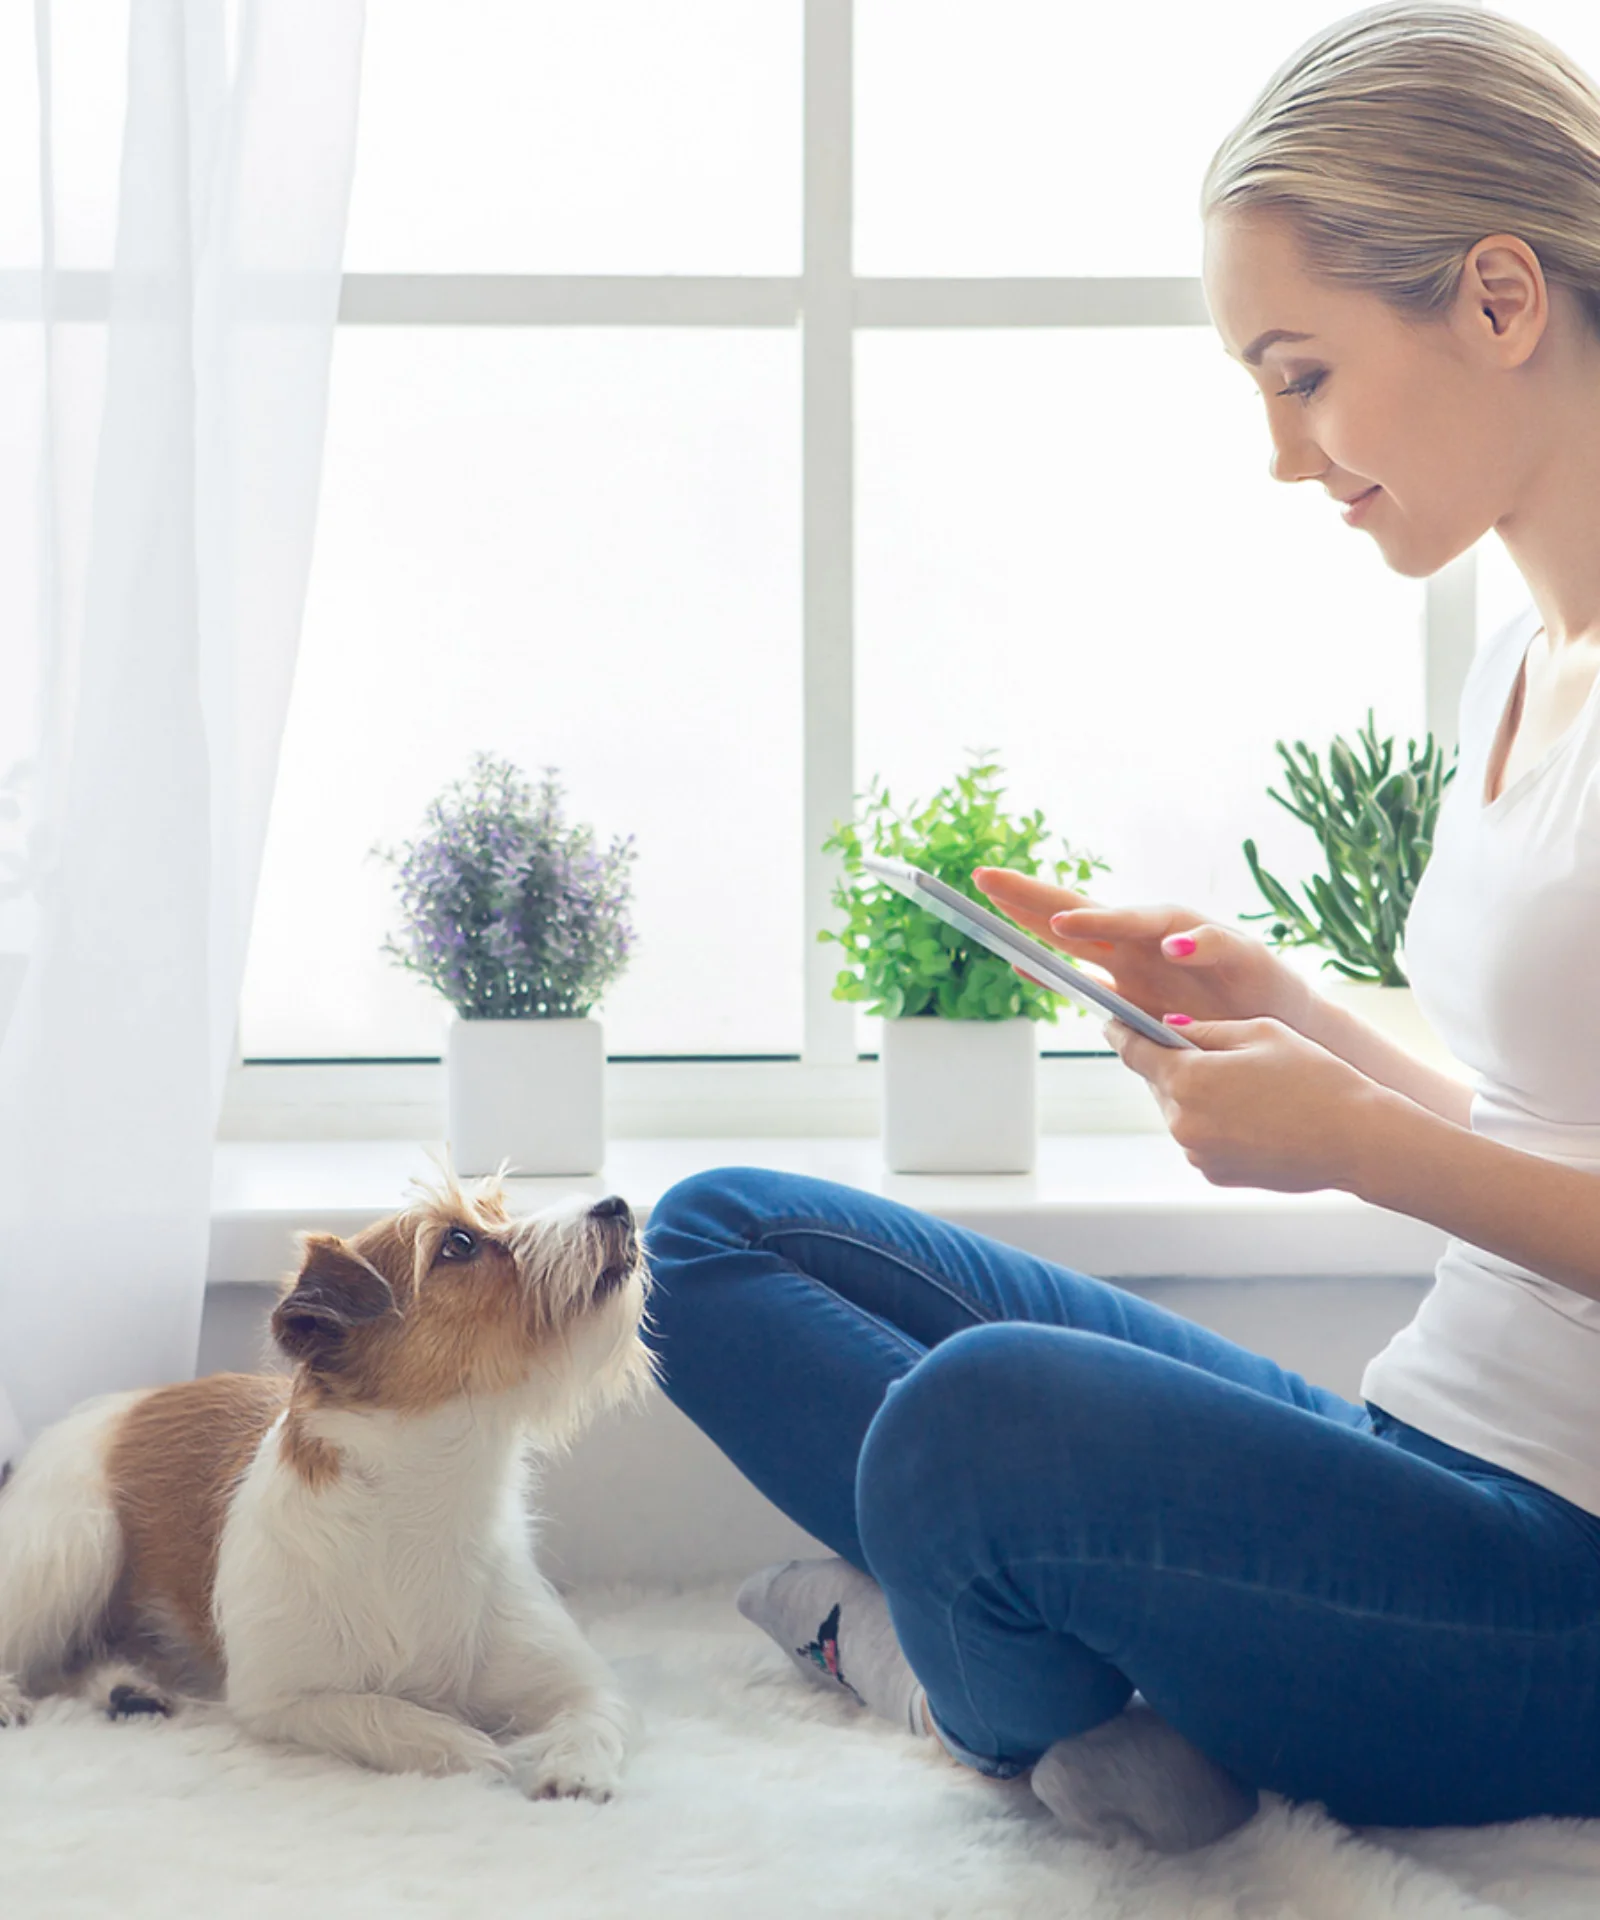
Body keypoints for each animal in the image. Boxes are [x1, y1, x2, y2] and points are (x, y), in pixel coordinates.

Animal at [0, 1167, 656, 1797]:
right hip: (75, 1546)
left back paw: (128, 1687)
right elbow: (381, 1715)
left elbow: (594, 1713)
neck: (430, 1498)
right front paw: (467, 1750)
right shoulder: (282, 1699)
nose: (617, 1206)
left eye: (499, 1212)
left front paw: (577, 1770)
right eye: (459, 1243)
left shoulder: (575, 1678)